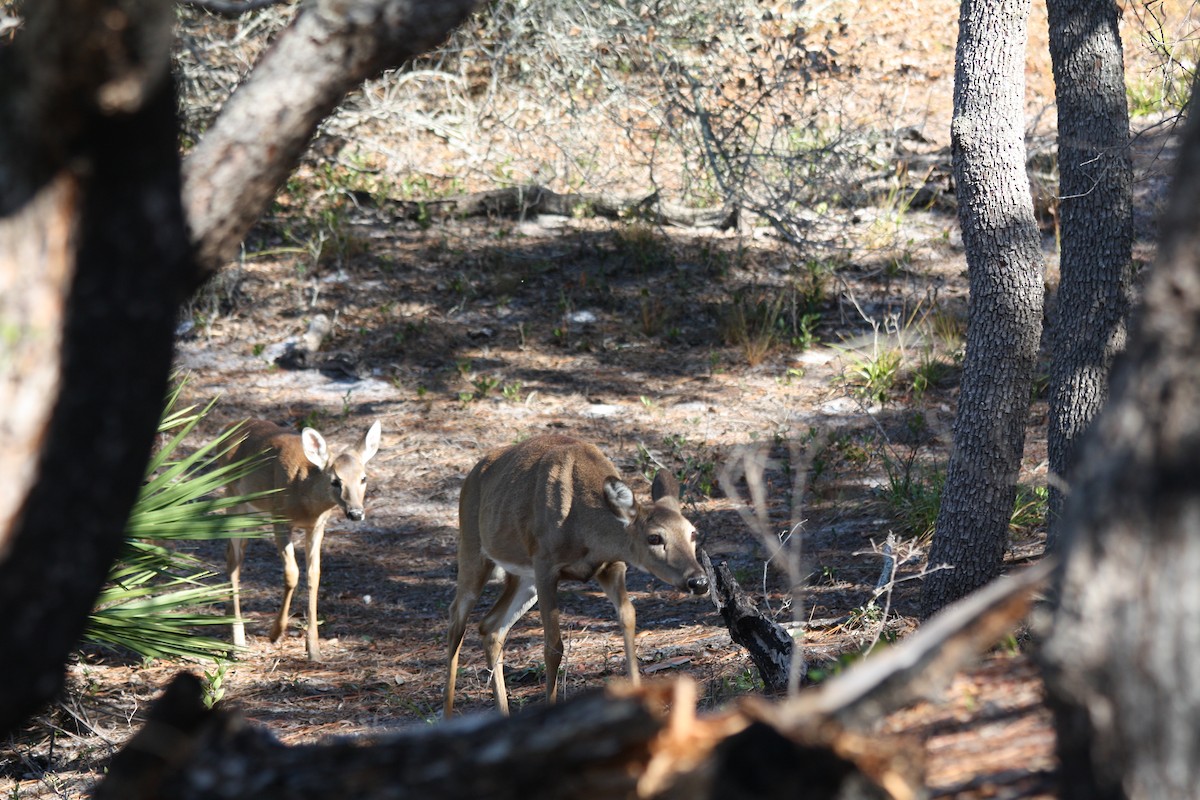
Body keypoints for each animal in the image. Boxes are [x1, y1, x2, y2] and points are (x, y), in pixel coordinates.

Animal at [222, 418, 382, 661]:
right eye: (335, 481)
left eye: (363, 478)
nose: (355, 513)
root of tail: (228, 428)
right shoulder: (279, 518)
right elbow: (292, 573)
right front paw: (275, 633)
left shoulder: (317, 526)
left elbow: (314, 575)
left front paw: (313, 649)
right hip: (233, 498)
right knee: (233, 560)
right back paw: (237, 643)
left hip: (252, 511)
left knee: (235, 555)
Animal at [443, 433, 709, 717]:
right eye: (655, 537)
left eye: (693, 533)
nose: (699, 581)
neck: (583, 527)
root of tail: (473, 472)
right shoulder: (546, 564)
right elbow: (553, 646)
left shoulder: (612, 565)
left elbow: (628, 618)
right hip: (472, 548)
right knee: (456, 619)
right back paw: (447, 715)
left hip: (524, 580)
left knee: (491, 627)